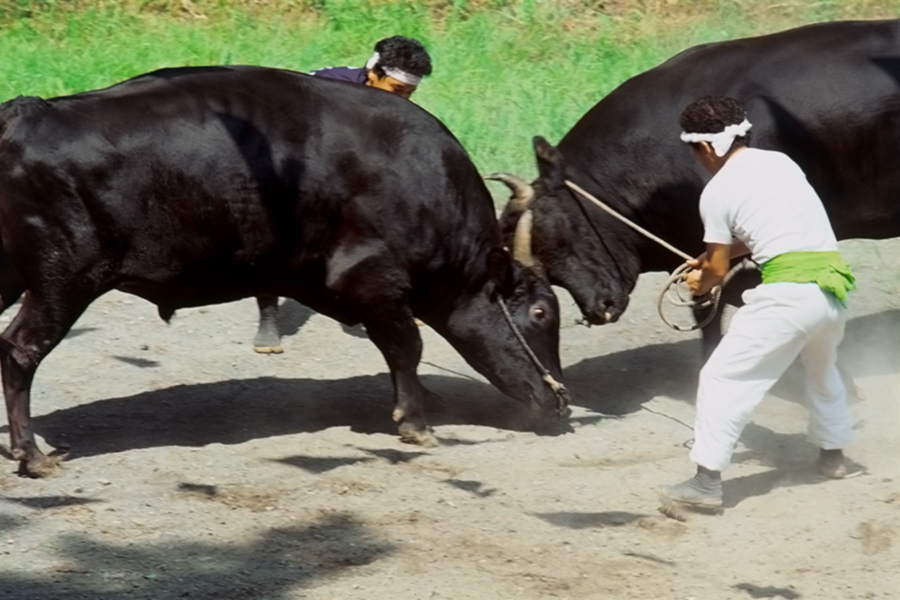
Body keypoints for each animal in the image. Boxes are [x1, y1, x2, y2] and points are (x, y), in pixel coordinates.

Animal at [0, 65, 568, 478]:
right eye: (542, 311)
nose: (561, 404)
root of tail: (28, 114)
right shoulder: (375, 281)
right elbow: (408, 345)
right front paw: (416, 423)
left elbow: (396, 349)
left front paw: (424, 400)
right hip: (63, 281)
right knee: (21, 350)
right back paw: (32, 455)